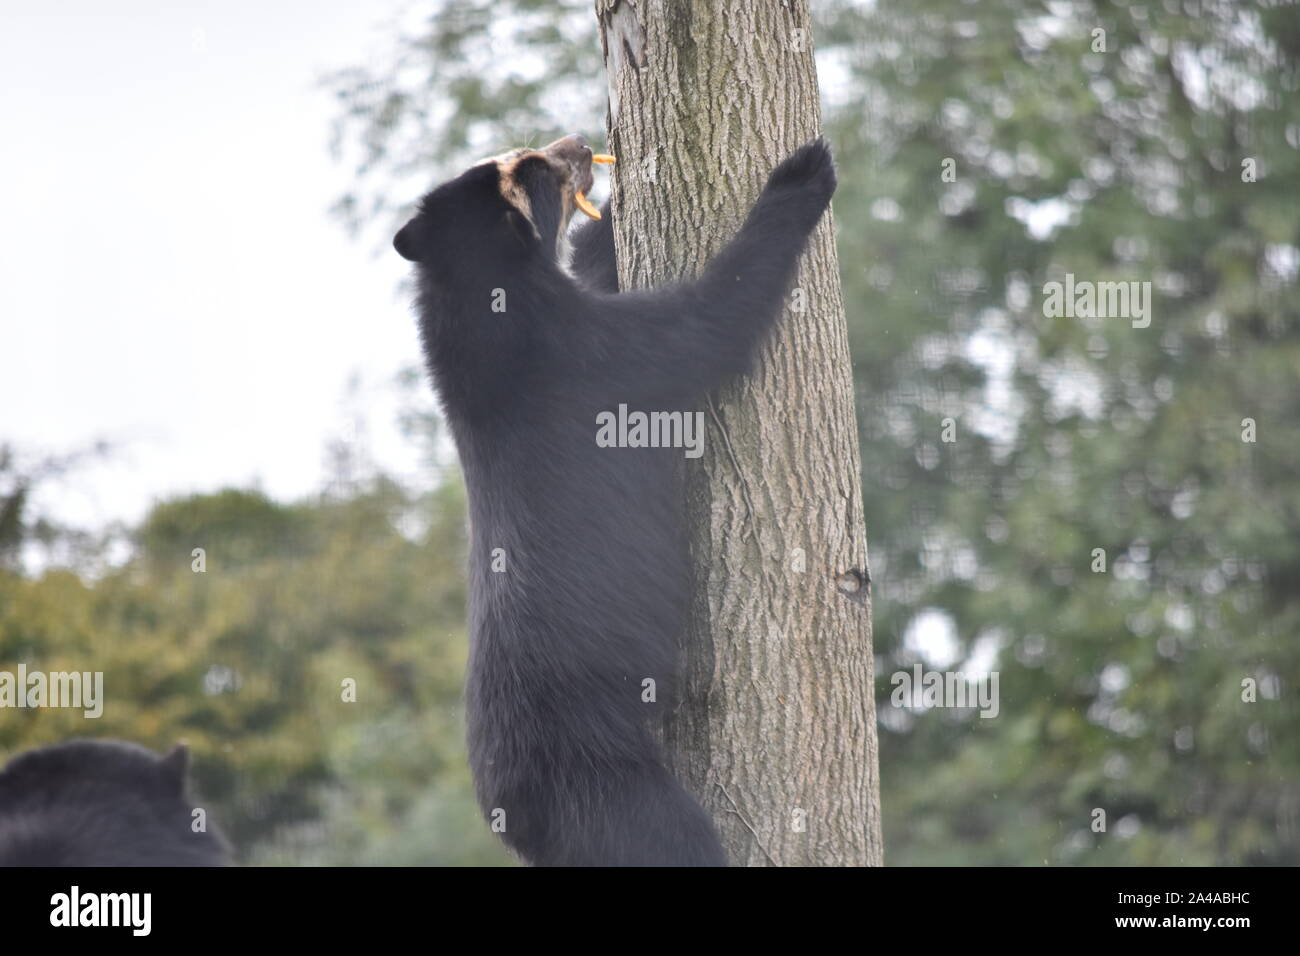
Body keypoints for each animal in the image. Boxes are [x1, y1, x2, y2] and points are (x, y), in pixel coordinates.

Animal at [394, 134, 837, 865]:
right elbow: (705, 324)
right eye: (533, 167)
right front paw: (804, 171)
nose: (576, 144)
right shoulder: (594, 357)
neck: (482, 302)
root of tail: (511, 819)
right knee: (676, 841)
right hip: (606, 783)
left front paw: (604, 227)